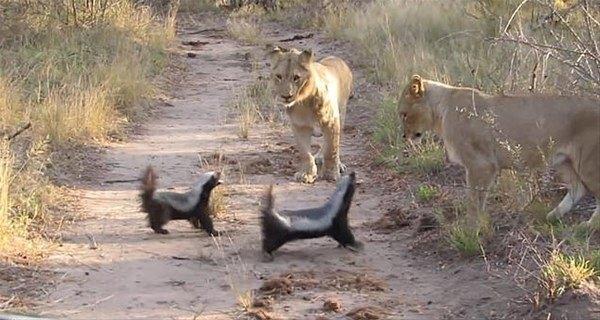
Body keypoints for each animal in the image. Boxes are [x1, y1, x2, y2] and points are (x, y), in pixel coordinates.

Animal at [266, 44, 354, 182]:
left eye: (296, 78)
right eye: (279, 76)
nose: (286, 96)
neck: (304, 102)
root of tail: (337, 58)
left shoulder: (332, 121)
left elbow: (332, 149)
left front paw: (330, 173)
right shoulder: (299, 125)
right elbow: (305, 152)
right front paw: (307, 174)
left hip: (342, 111)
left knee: (336, 141)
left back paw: (337, 164)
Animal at [398, 75, 600, 229]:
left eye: (403, 114)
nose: (404, 136)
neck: (441, 109)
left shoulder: (481, 164)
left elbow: (474, 199)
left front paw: (471, 228)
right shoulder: (485, 166)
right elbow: (479, 198)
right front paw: (479, 224)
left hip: (588, 161)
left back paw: (589, 226)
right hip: (563, 161)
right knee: (578, 188)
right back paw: (552, 216)